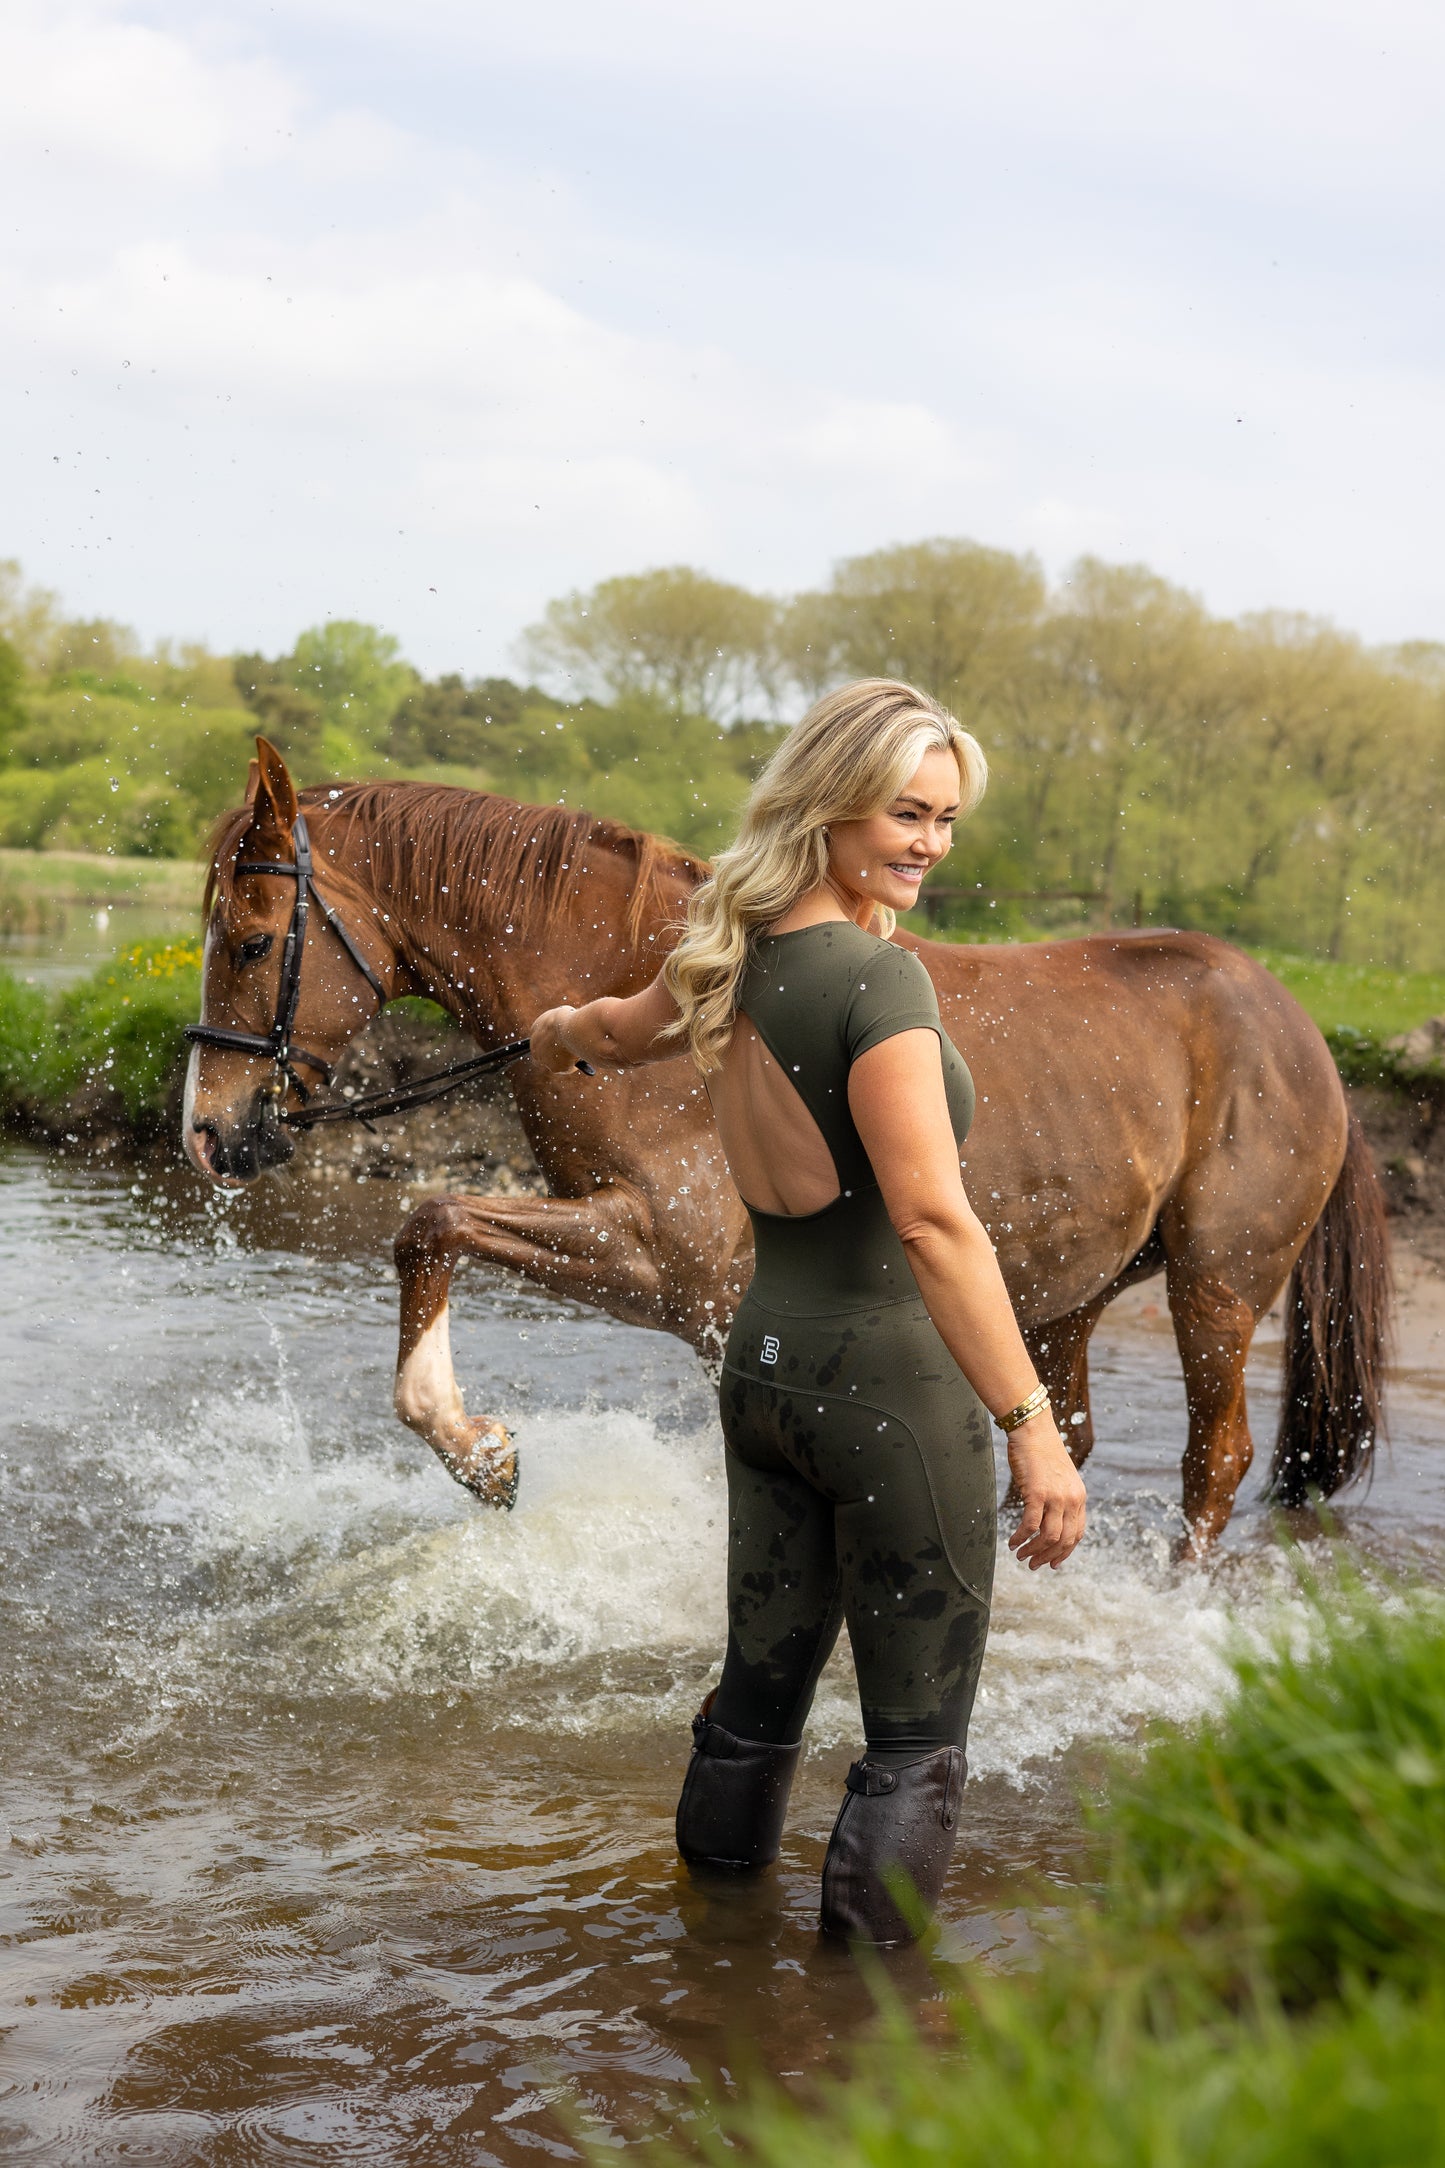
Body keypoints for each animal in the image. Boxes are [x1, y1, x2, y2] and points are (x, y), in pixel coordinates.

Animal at [184, 745, 1386, 1543]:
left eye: (249, 941)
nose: (204, 1131)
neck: (667, 1009)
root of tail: (1298, 1031)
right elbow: (429, 1229)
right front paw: (480, 1453)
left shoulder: (671, 1266)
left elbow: (430, 1216)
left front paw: (475, 1448)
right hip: (1065, 1296)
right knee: (1057, 1446)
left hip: (1217, 1283)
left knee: (1213, 1460)